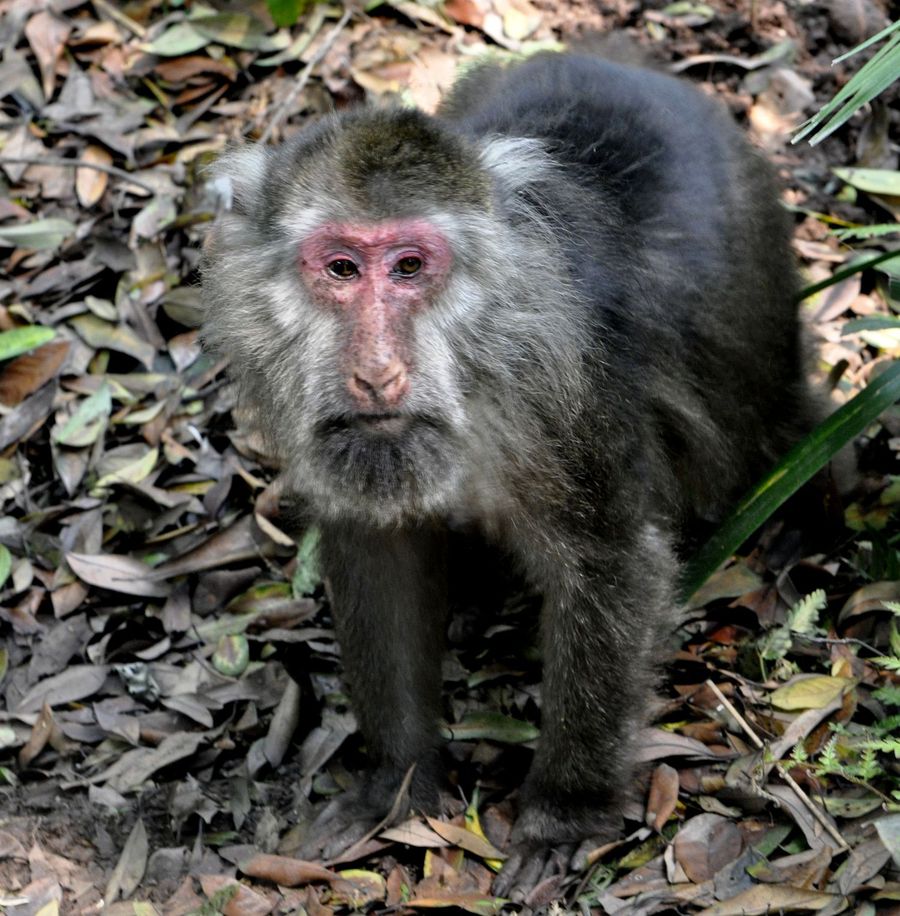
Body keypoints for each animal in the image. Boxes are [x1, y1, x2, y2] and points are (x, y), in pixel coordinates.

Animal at [204, 55, 816, 896]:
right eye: (340, 268)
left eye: (409, 268)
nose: (376, 373)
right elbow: (379, 557)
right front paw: (396, 782)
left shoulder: (571, 401)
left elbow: (612, 562)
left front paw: (563, 811)